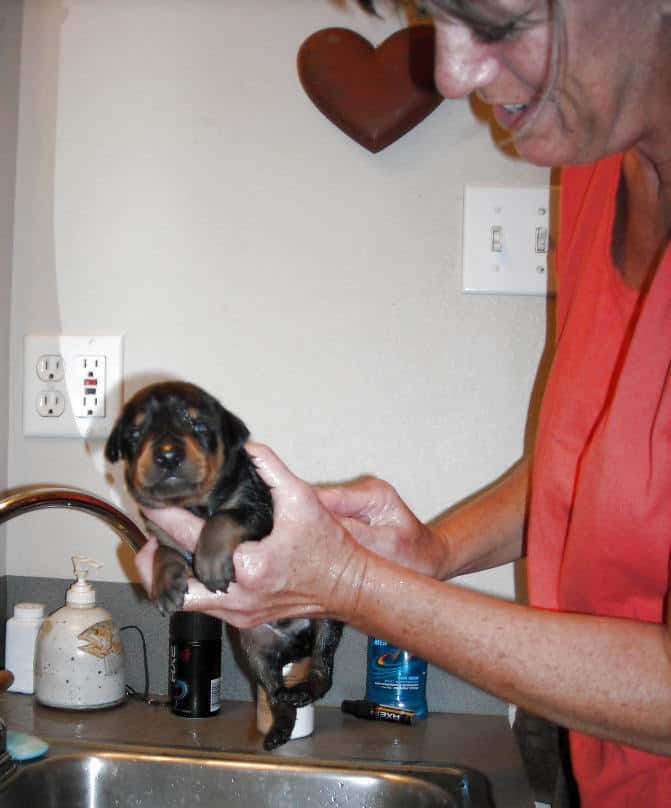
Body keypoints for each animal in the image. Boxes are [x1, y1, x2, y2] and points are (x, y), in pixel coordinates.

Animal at [108, 384, 346, 752]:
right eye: (135, 434)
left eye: (198, 425)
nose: (167, 455)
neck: (191, 505)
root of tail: (294, 642)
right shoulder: (160, 526)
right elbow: (165, 550)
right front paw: (165, 585)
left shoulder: (259, 510)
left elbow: (223, 518)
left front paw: (210, 564)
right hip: (254, 647)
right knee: (274, 692)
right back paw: (278, 729)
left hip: (325, 618)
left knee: (323, 666)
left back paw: (305, 689)